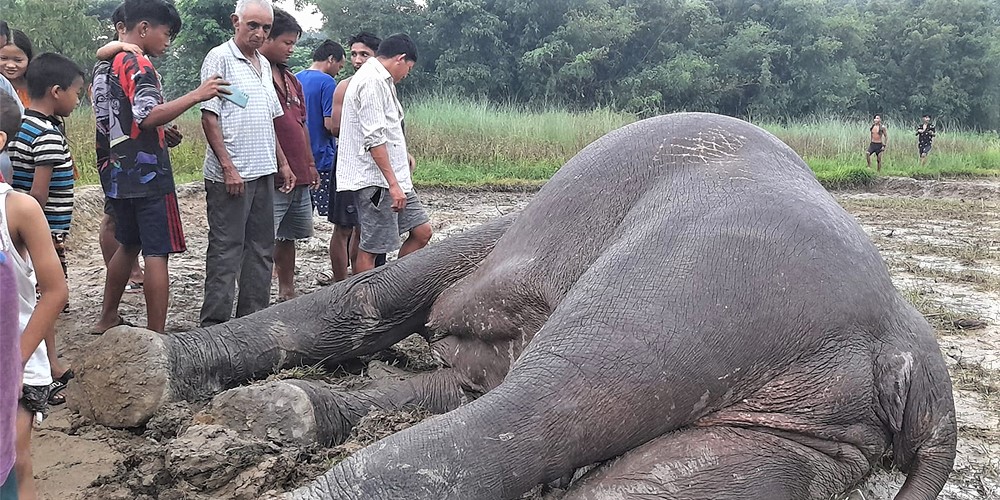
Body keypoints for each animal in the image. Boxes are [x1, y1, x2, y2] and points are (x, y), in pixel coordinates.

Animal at [76, 114, 952, 500]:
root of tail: (911, 352)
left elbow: (389, 308)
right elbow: (410, 346)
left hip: (708, 286)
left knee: (536, 411)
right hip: (811, 431)